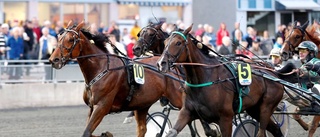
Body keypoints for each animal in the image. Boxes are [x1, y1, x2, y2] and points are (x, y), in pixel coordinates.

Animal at [48, 20, 186, 137]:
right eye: (59, 37)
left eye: (71, 39)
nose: (54, 59)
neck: (101, 68)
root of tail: (171, 65)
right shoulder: (92, 107)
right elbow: (89, 132)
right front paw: (106, 134)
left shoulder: (102, 106)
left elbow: (86, 132)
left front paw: (106, 134)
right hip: (142, 104)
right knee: (142, 129)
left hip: (177, 99)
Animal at [156, 24, 284, 137]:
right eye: (165, 42)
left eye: (178, 43)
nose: (161, 63)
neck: (202, 79)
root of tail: (274, 73)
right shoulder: (187, 112)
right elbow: (172, 132)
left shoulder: (226, 118)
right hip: (254, 109)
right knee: (276, 129)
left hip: (266, 108)